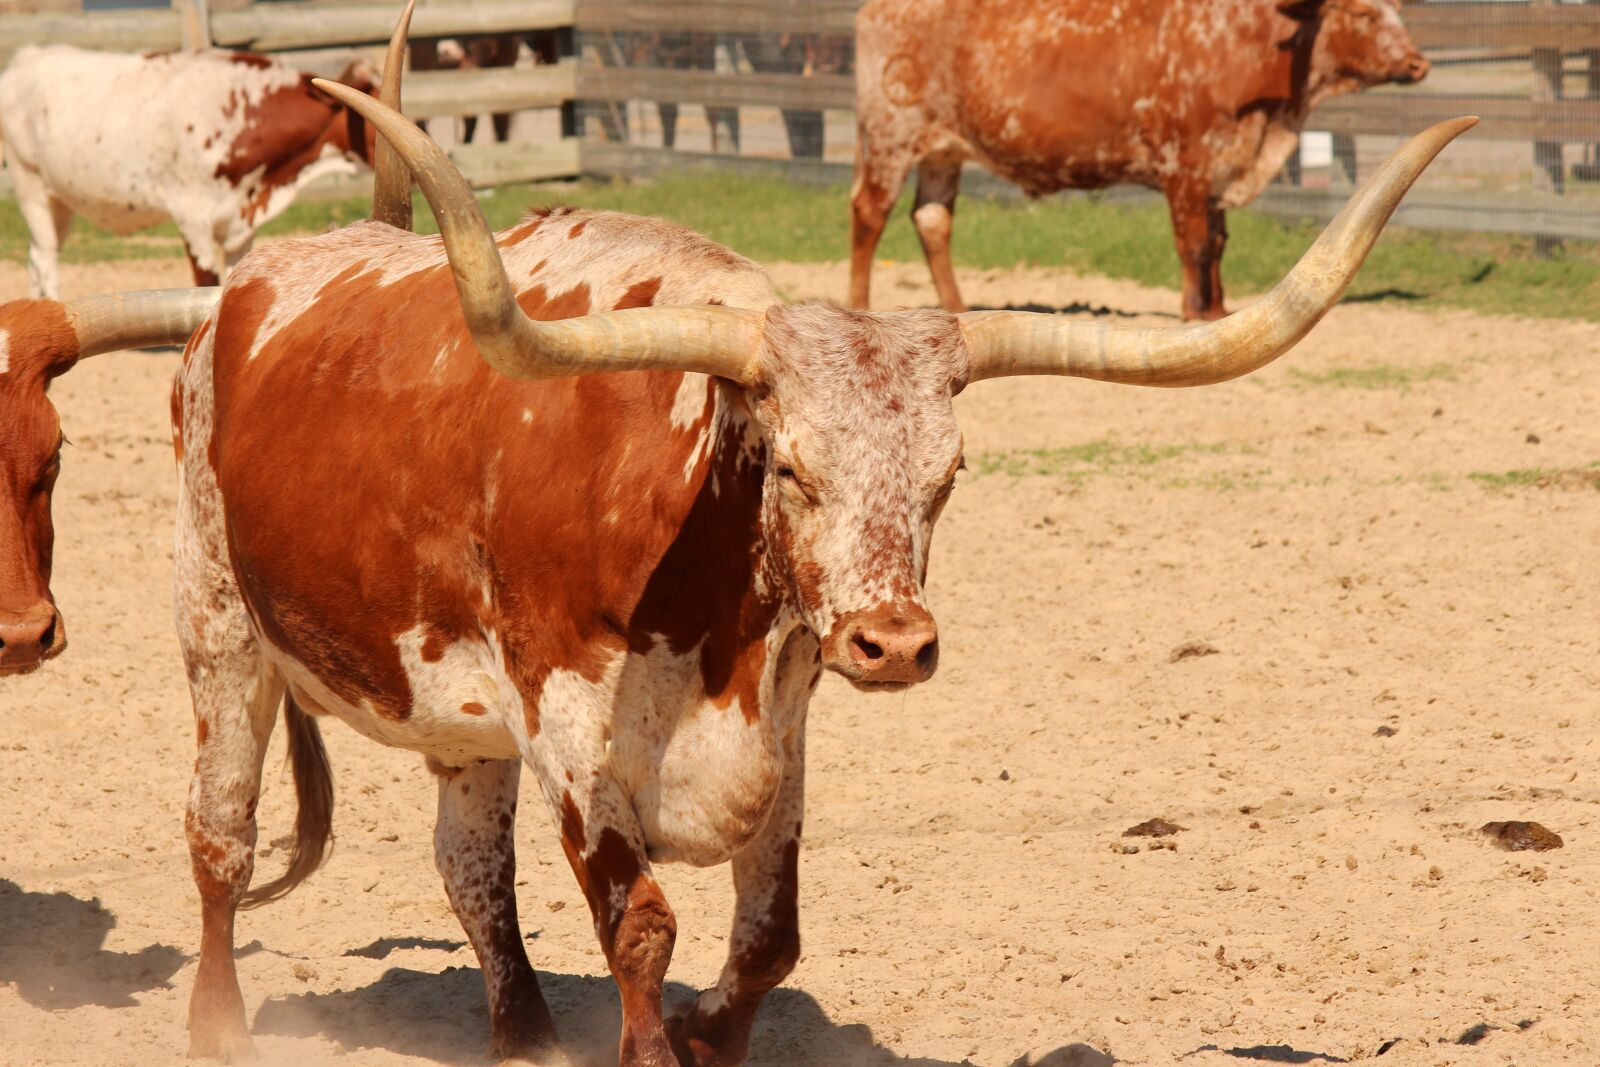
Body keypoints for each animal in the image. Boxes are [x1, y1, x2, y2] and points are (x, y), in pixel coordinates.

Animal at [0, 43, 380, 299]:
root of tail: (28, 55)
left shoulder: (240, 227)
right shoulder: (192, 216)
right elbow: (206, 285)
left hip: (60, 201)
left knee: (36, 257)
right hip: (30, 186)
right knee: (46, 260)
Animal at [178, 81, 1472, 1062]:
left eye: (949, 470)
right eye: (791, 464)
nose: (893, 641)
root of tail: (241, 294)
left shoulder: (783, 720)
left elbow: (768, 941)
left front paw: (710, 1029)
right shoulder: (565, 723)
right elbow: (642, 925)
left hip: (454, 715)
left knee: (471, 869)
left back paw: (526, 1037)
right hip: (222, 627)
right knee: (221, 838)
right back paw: (219, 1024)